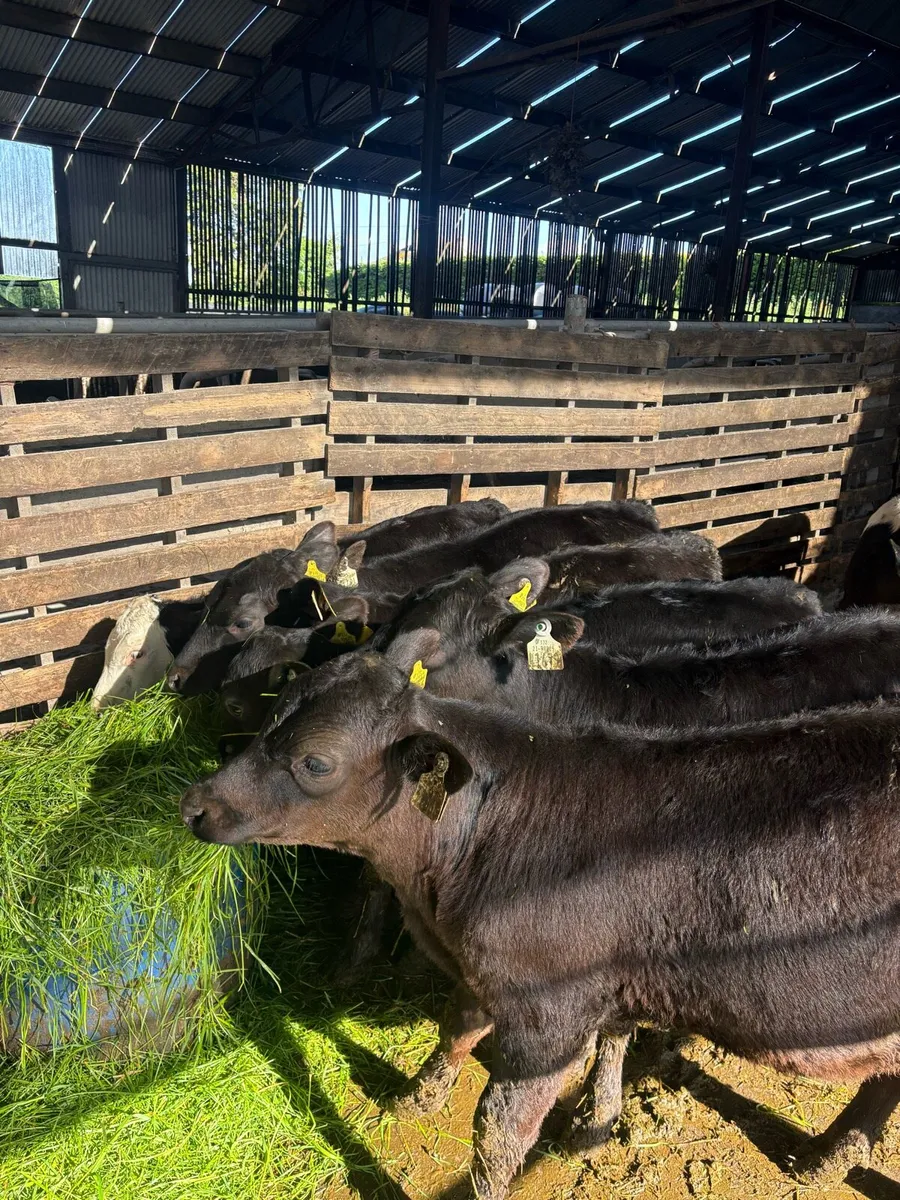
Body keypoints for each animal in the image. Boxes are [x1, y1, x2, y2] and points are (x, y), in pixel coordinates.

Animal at [181, 644, 900, 1200]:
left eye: (316, 761)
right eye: (266, 718)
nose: (194, 804)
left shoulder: (548, 1011)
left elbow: (500, 1129)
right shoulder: (497, 972)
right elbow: (458, 1030)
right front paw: (416, 1100)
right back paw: (824, 1159)